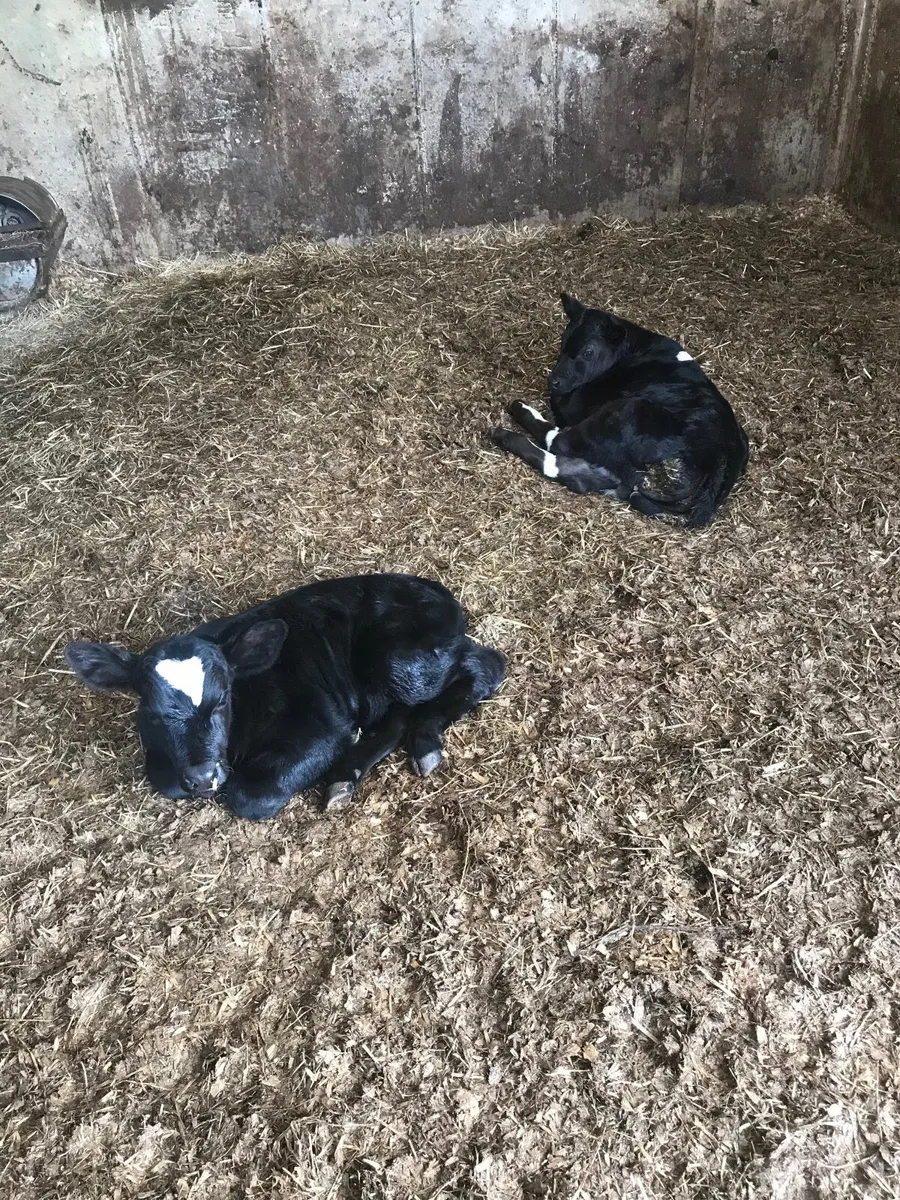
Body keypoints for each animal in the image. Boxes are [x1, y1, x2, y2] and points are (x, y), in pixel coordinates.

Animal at [64, 574, 506, 821]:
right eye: (153, 714)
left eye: (222, 699)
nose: (203, 777)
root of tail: (431, 587)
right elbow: (165, 779)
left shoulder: (322, 727)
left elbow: (249, 795)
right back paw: (346, 777)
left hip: (406, 662)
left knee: (486, 665)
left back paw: (425, 742)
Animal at [491, 293, 749, 527]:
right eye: (563, 343)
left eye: (588, 352)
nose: (554, 381)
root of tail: (721, 458)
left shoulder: (574, 405)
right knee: (573, 473)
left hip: (625, 413)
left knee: (559, 443)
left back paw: (515, 413)